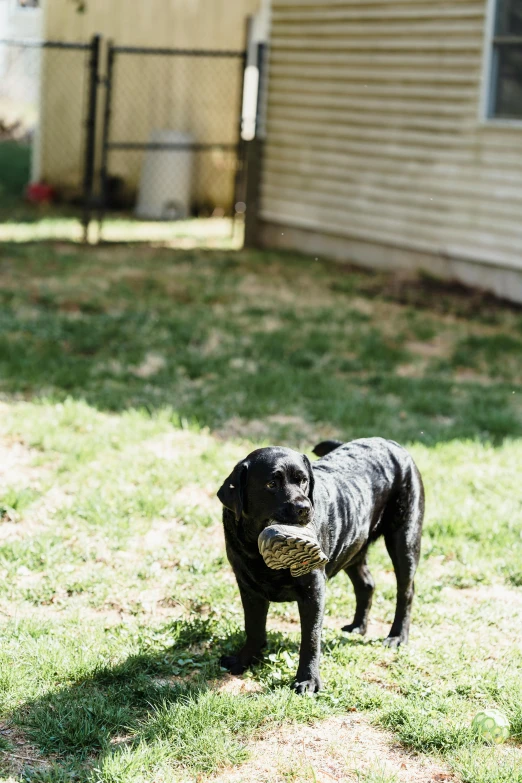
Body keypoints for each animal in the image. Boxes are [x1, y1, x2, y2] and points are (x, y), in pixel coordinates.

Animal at [215, 438, 422, 696]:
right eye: (271, 483)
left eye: (303, 480)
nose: (304, 507)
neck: (258, 553)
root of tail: (391, 442)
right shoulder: (248, 587)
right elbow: (253, 628)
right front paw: (244, 660)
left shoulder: (313, 590)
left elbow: (311, 638)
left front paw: (308, 680)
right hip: (354, 547)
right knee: (366, 584)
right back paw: (358, 626)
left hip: (404, 540)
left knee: (406, 591)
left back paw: (397, 636)